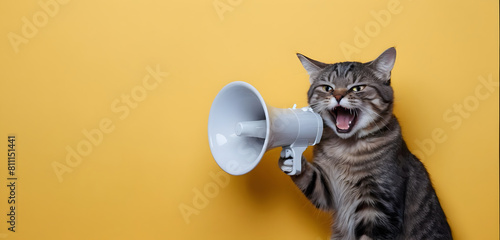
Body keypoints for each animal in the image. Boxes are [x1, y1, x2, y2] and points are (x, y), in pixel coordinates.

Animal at [280, 47, 456, 239]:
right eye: (328, 88)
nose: (338, 95)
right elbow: (310, 179)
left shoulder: (379, 206)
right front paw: (290, 160)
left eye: (358, 88)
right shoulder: (328, 189)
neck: (345, 148)